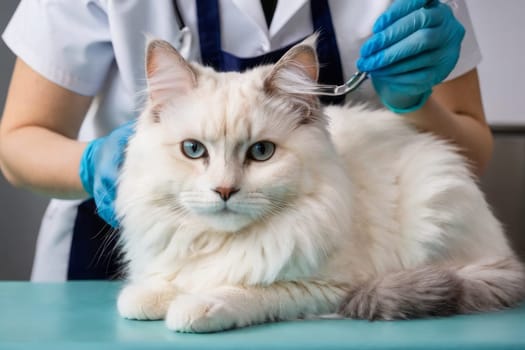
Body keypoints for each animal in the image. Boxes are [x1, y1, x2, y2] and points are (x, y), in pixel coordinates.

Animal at [115, 37, 524, 332]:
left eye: (261, 152)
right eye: (193, 150)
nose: (225, 191)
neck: (226, 242)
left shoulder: (325, 289)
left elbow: (245, 292)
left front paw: (194, 306)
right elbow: (162, 282)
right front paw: (147, 297)